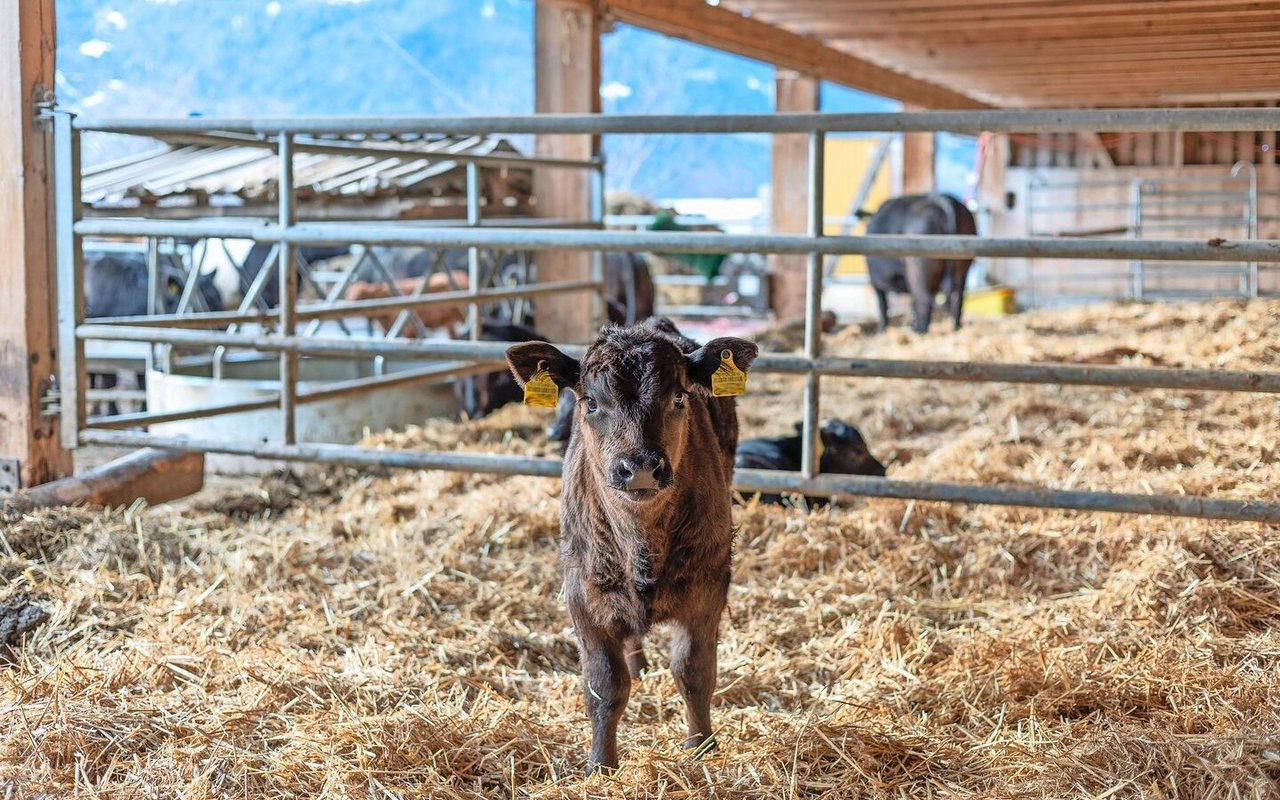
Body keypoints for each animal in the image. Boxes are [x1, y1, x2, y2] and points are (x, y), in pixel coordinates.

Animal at [504, 314, 752, 773]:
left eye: (678, 398)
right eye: (591, 403)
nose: (639, 468)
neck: (641, 544)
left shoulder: (710, 584)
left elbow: (694, 672)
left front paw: (702, 746)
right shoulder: (584, 594)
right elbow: (605, 685)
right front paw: (601, 763)